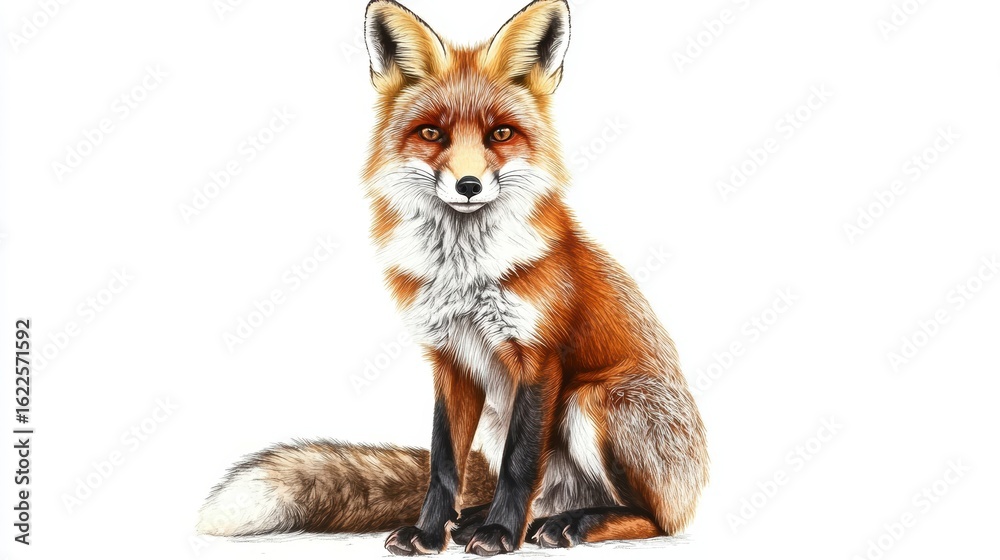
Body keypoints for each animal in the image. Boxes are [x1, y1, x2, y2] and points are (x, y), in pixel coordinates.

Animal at [197, 0, 709, 555]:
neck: (464, 276)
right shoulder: (450, 359)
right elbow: (443, 464)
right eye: (432, 133)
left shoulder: (539, 358)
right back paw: (483, 521)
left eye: (500, 134)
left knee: (654, 517)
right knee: (540, 495)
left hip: (590, 400)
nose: (468, 185)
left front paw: (501, 535)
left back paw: (565, 525)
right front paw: (429, 532)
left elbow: (518, 464)